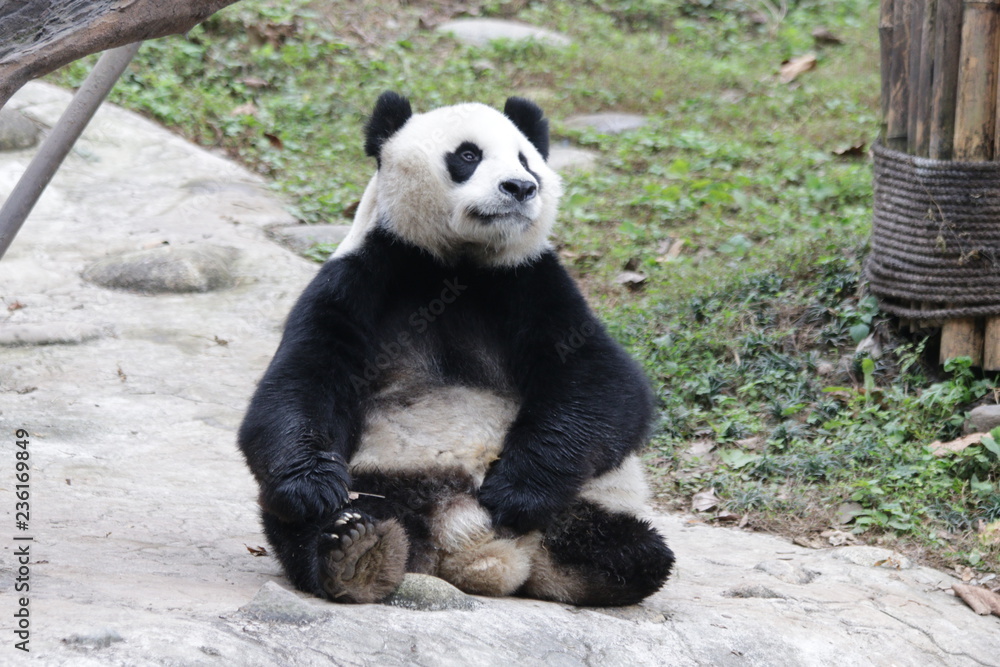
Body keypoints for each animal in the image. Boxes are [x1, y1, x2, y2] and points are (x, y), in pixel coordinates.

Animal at [238, 92, 674, 606]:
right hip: (381, 474)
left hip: (593, 500)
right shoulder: (360, 278)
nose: (521, 187)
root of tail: (471, 545)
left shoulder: (532, 283)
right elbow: (300, 384)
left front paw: (515, 491)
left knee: (635, 546)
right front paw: (314, 488)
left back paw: (590, 568)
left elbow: (604, 385)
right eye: (468, 155)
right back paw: (357, 551)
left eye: (526, 159)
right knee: (306, 524)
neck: (458, 264)